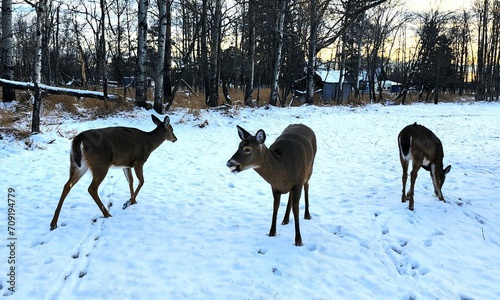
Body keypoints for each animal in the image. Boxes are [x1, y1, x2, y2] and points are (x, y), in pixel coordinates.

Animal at [49, 115, 178, 230]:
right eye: (172, 129)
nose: (175, 139)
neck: (149, 144)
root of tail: (79, 138)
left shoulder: (126, 164)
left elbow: (130, 180)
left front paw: (133, 201)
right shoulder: (138, 161)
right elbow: (141, 181)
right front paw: (127, 202)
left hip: (77, 163)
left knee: (67, 185)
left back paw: (53, 223)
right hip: (100, 163)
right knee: (92, 188)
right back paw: (107, 214)